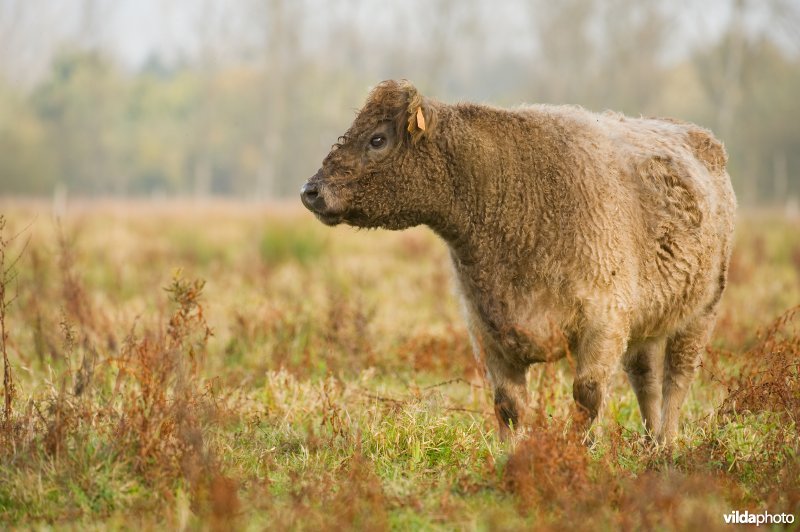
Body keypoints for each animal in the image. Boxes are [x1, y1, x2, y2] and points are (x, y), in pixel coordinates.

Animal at [302, 80, 736, 444]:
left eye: (377, 138)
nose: (311, 190)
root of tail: (705, 140)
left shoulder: (605, 320)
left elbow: (588, 396)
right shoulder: (487, 330)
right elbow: (508, 405)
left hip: (702, 313)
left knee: (676, 378)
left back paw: (665, 443)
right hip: (648, 322)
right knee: (644, 377)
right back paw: (648, 442)